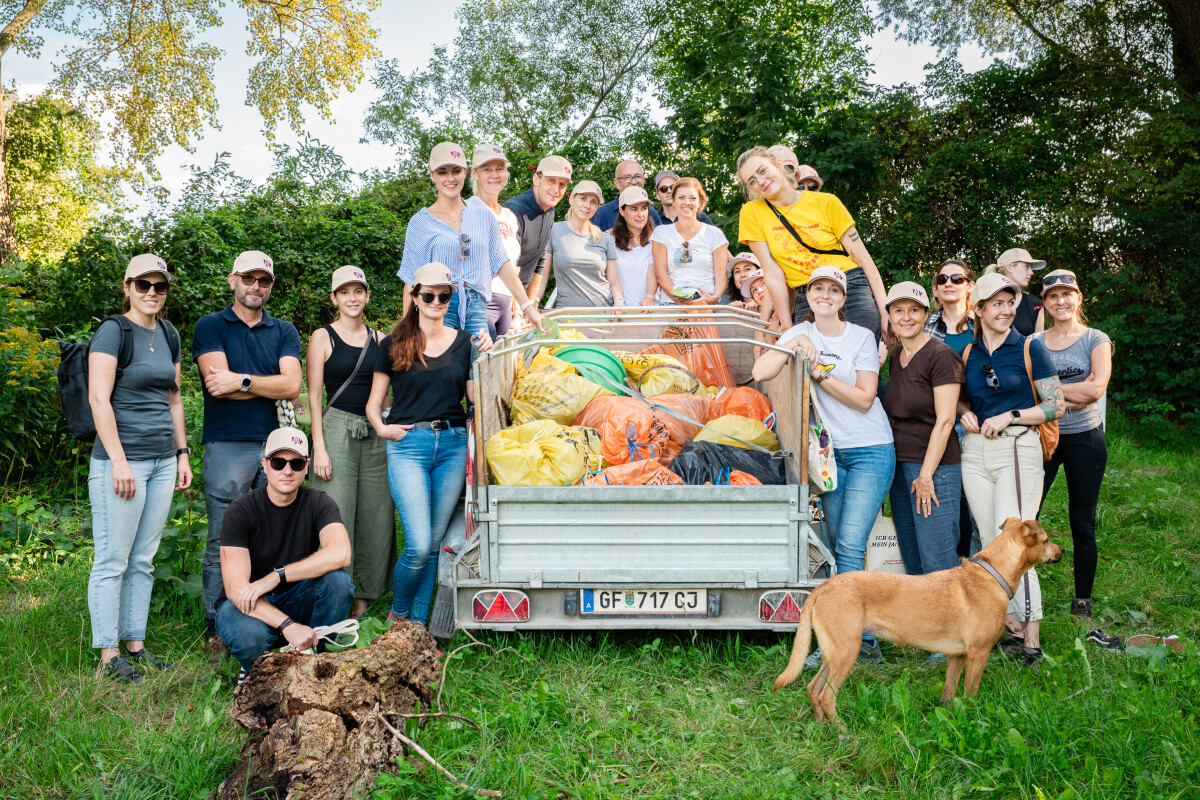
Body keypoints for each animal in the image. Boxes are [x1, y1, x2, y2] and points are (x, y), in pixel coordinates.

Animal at [772, 520, 1065, 724]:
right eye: (1047, 539)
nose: (1062, 550)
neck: (993, 574)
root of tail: (824, 586)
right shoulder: (978, 654)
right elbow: (970, 694)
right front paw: (972, 717)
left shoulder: (957, 657)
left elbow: (948, 693)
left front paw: (947, 717)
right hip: (846, 653)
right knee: (827, 697)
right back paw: (844, 731)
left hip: (834, 654)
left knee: (813, 689)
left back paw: (822, 729)